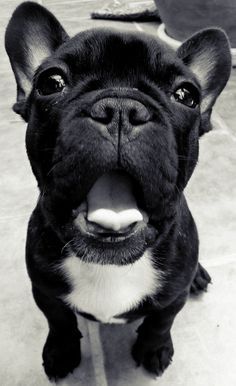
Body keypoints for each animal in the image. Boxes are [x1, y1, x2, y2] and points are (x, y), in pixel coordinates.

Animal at [5, 0, 230, 380]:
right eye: (51, 83)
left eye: (187, 95)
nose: (121, 109)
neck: (110, 265)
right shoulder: (45, 290)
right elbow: (60, 321)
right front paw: (61, 352)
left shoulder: (173, 296)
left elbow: (160, 321)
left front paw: (154, 349)